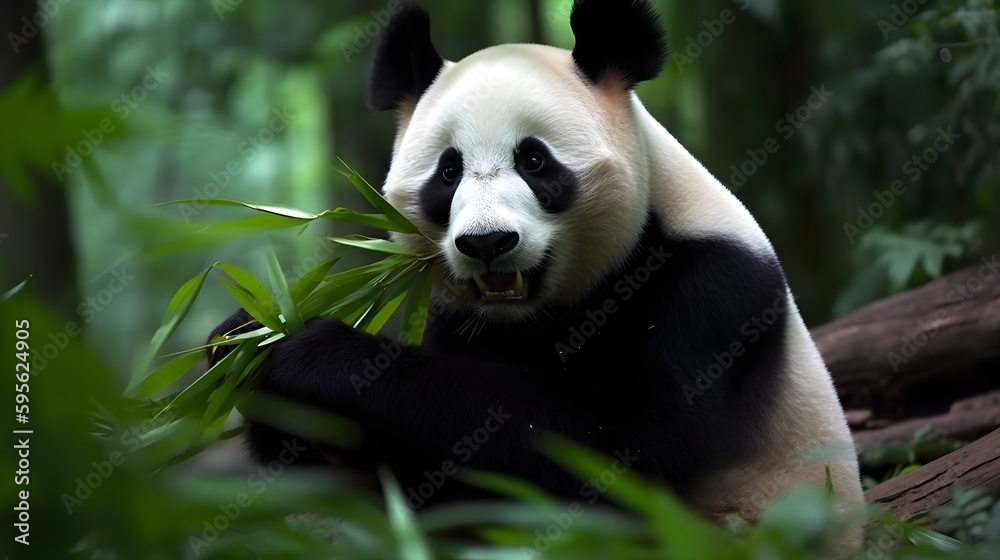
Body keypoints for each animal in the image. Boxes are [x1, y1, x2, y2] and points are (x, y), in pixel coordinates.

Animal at [209, 0, 863, 554]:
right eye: (448, 171)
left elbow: (623, 460)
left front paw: (308, 352)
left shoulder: (711, 292)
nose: (487, 243)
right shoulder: (457, 317)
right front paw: (242, 341)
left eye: (533, 159)